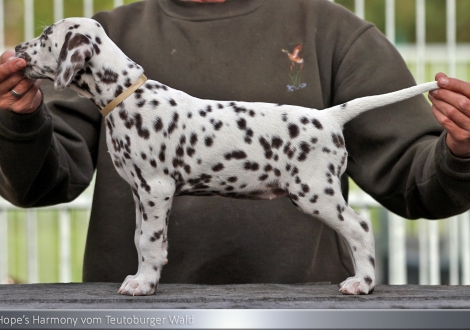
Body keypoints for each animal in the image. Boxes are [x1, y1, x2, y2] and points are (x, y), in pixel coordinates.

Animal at [14, 17, 438, 296]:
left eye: (45, 36)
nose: (16, 49)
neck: (126, 96)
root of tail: (329, 116)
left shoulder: (156, 189)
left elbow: (150, 242)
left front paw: (143, 283)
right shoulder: (140, 193)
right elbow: (140, 237)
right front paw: (144, 276)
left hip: (315, 191)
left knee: (360, 229)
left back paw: (361, 283)